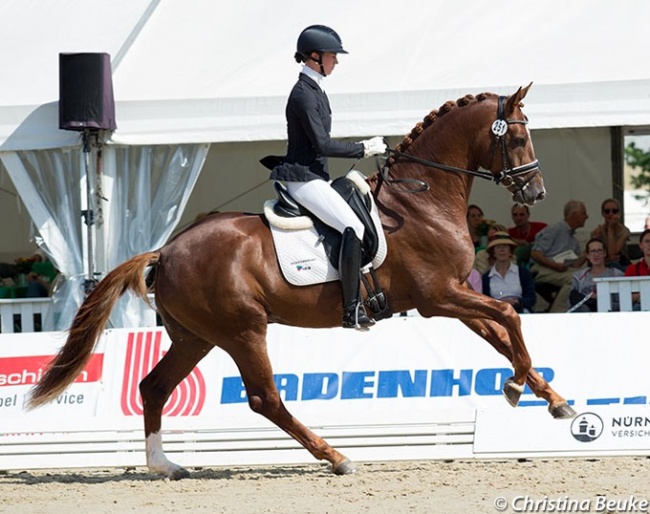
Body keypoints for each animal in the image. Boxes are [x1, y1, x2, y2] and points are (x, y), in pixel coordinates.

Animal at [26, 82, 572, 478]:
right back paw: (336, 457)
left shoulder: (453, 295)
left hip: (196, 337)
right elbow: (508, 315)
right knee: (264, 397)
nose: (537, 191)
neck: (421, 199)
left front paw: (555, 401)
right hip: (242, 331)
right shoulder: (438, 297)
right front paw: (516, 387)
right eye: (517, 137)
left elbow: (500, 333)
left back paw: (164, 465)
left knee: (154, 387)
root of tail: (167, 248)